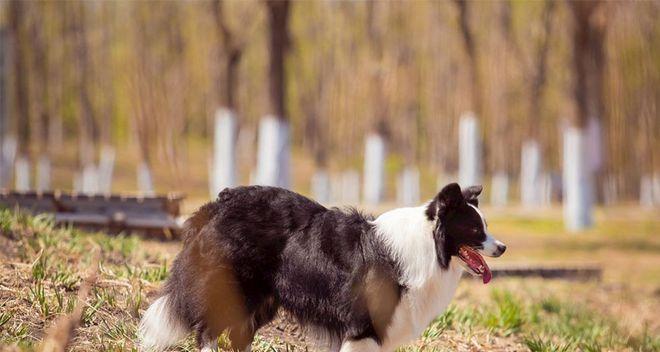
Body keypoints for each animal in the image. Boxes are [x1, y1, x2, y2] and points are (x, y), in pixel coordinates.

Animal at [141, 183, 506, 350]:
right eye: (476, 230)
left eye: (486, 226)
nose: (502, 247)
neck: (428, 244)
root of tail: (220, 202)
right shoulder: (363, 329)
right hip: (236, 291)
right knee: (207, 330)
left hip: (261, 303)